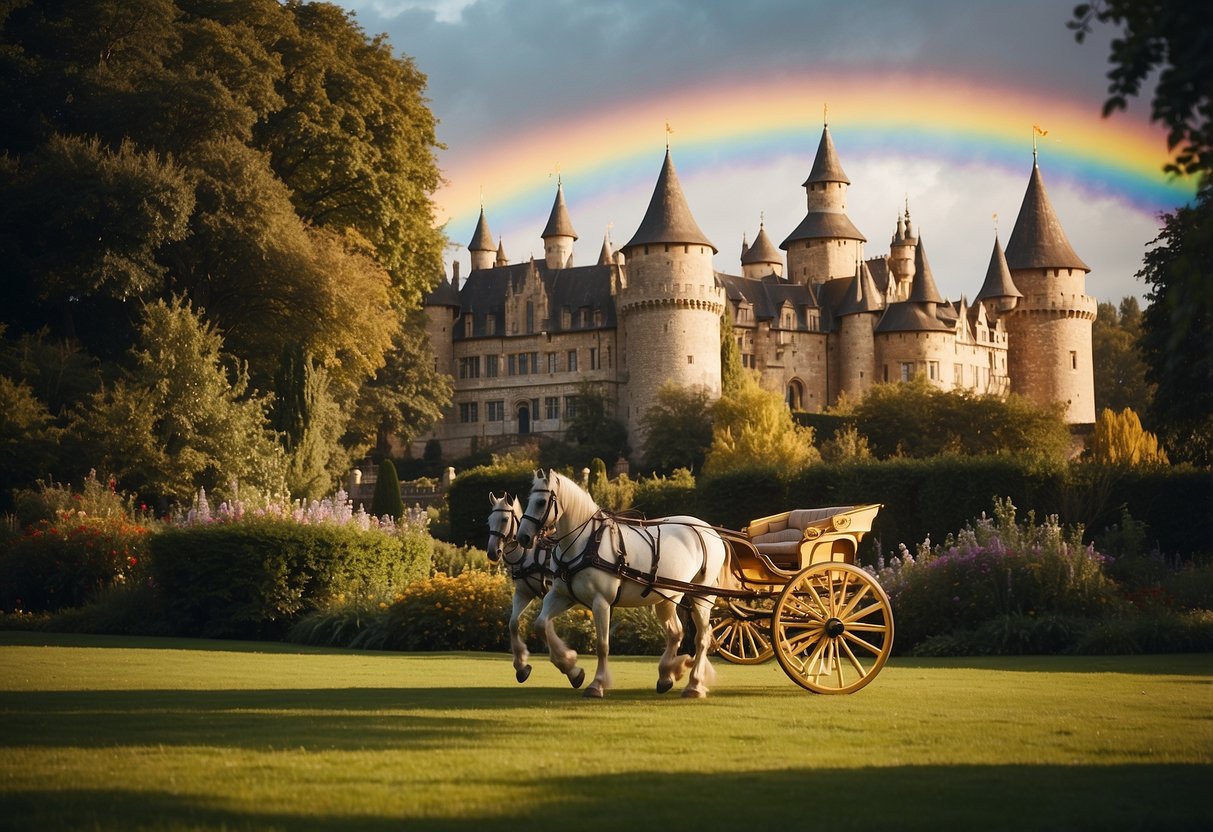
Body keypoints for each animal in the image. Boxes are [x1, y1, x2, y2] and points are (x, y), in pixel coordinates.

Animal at [487, 494, 591, 688]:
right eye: (489, 520)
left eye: (504, 519)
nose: (492, 552)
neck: (527, 556)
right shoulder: (524, 594)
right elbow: (513, 623)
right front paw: (521, 666)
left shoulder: (556, 596)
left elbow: (545, 626)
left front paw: (569, 665)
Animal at [514, 470, 722, 698]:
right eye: (530, 499)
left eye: (541, 502)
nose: (522, 537)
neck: (586, 542)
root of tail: (711, 531)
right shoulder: (563, 596)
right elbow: (541, 624)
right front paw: (571, 668)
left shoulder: (601, 603)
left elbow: (602, 645)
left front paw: (596, 684)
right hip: (668, 598)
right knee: (676, 633)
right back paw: (667, 675)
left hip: (701, 597)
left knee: (702, 638)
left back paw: (694, 685)